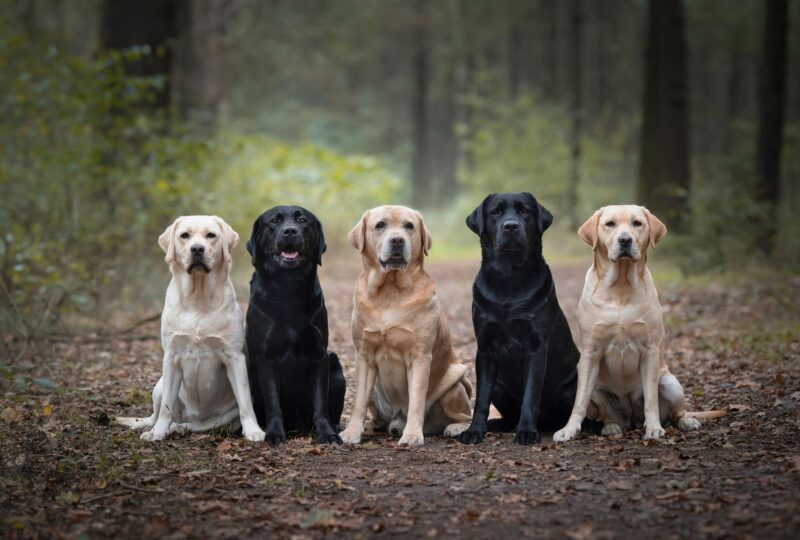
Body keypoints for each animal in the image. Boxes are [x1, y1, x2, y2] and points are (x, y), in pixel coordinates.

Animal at [115, 215, 266, 442]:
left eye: (211, 235)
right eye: (184, 235)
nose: (197, 249)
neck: (198, 298)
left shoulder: (234, 357)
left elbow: (246, 403)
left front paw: (254, 431)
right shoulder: (171, 357)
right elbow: (165, 408)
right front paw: (157, 434)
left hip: (219, 417)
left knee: (198, 425)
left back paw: (179, 428)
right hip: (159, 386)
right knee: (156, 414)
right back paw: (153, 427)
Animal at [244, 205, 344, 446]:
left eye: (302, 220)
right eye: (274, 221)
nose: (290, 231)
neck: (287, 290)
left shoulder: (320, 355)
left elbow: (320, 403)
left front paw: (326, 433)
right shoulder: (265, 358)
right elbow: (273, 402)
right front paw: (274, 433)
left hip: (335, 363)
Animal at [340, 205, 476, 446]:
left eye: (409, 226)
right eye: (380, 225)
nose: (397, 240)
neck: (389, 292)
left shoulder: (420, 356)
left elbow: (416, 401)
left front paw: (412, 434)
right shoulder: (364, 355)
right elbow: (358, 402)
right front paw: (352, 431)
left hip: (455, 385)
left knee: (465, 415)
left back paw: (455, 427)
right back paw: (374, 425)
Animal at [456, 192, 580, 446]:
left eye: (525, 211)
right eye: (495, 212)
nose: (511, 226)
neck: (509, 276)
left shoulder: (536, 347)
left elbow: (531, 395)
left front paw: (526, 431)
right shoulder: (485, 348)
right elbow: (481, 399)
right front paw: (474, 431)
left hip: (574, 386)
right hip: (499, 387)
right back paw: (498, 424)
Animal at [552, 205, 720, 440]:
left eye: (637, 223)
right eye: (610, 224)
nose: (625, 240)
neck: (621, 285)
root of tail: (631, 420)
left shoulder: (650, 350)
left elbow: (651, 400)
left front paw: (654, 428)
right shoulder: (590, 353)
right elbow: (579, 402)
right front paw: (568, 430)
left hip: (670, 383)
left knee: (677, 412)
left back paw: (686, 421)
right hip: (597, 390)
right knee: (605, 413)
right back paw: (611, 426)